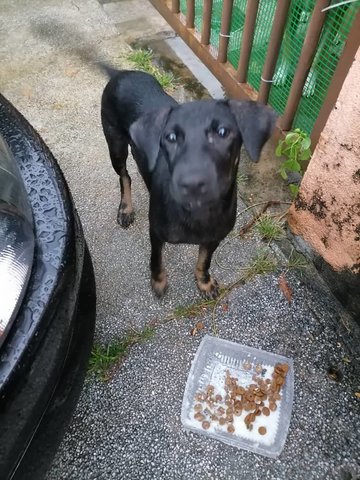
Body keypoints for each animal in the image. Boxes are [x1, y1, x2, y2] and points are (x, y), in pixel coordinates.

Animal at [100, 68, 278, 298]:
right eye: (170, 137)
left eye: (222, 132)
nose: (192, 183)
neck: (198, 211)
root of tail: (121, 73)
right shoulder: (156, 232)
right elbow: (156, 259)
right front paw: (158, 281)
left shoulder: (214, 238)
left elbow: (204, 261)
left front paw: (204, 282)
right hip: (116, 145)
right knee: (124, 176)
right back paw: (126, 209)